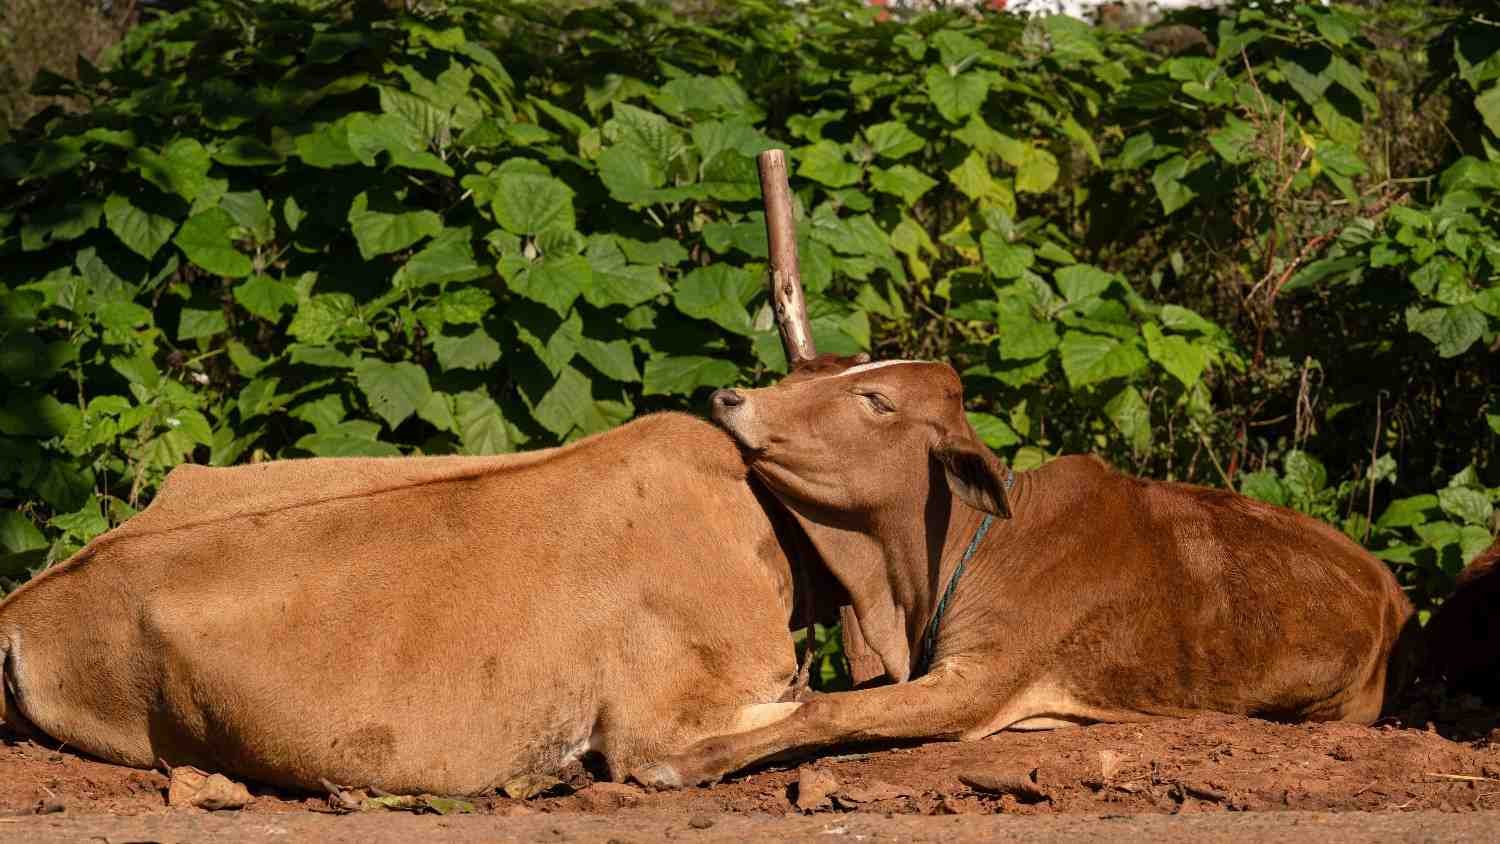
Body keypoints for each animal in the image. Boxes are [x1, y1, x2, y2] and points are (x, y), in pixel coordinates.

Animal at [630, 354, 1420, 788]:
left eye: (876, 400)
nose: (733, 398)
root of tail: (1392, 593)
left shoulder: (977, 685)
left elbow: (826, 710)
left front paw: (685, 760)